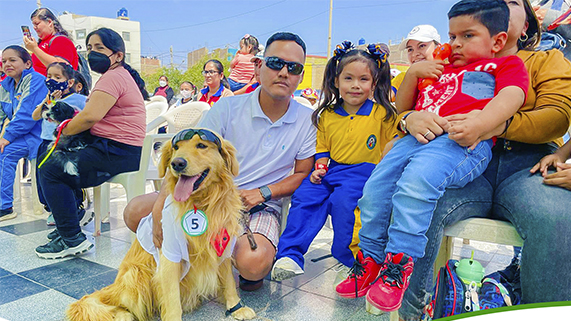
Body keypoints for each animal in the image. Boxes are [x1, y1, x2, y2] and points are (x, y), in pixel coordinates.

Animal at [66, 128, 256, 320]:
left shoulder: (222, 245)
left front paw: (236, 307)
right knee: (118, 303)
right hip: (135, 274)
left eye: (201, 145)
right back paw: (122, 315)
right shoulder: (169, 256)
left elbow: (229, 281)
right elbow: (172, 299)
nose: (177, 163)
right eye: (176, 148)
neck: (201, 203)